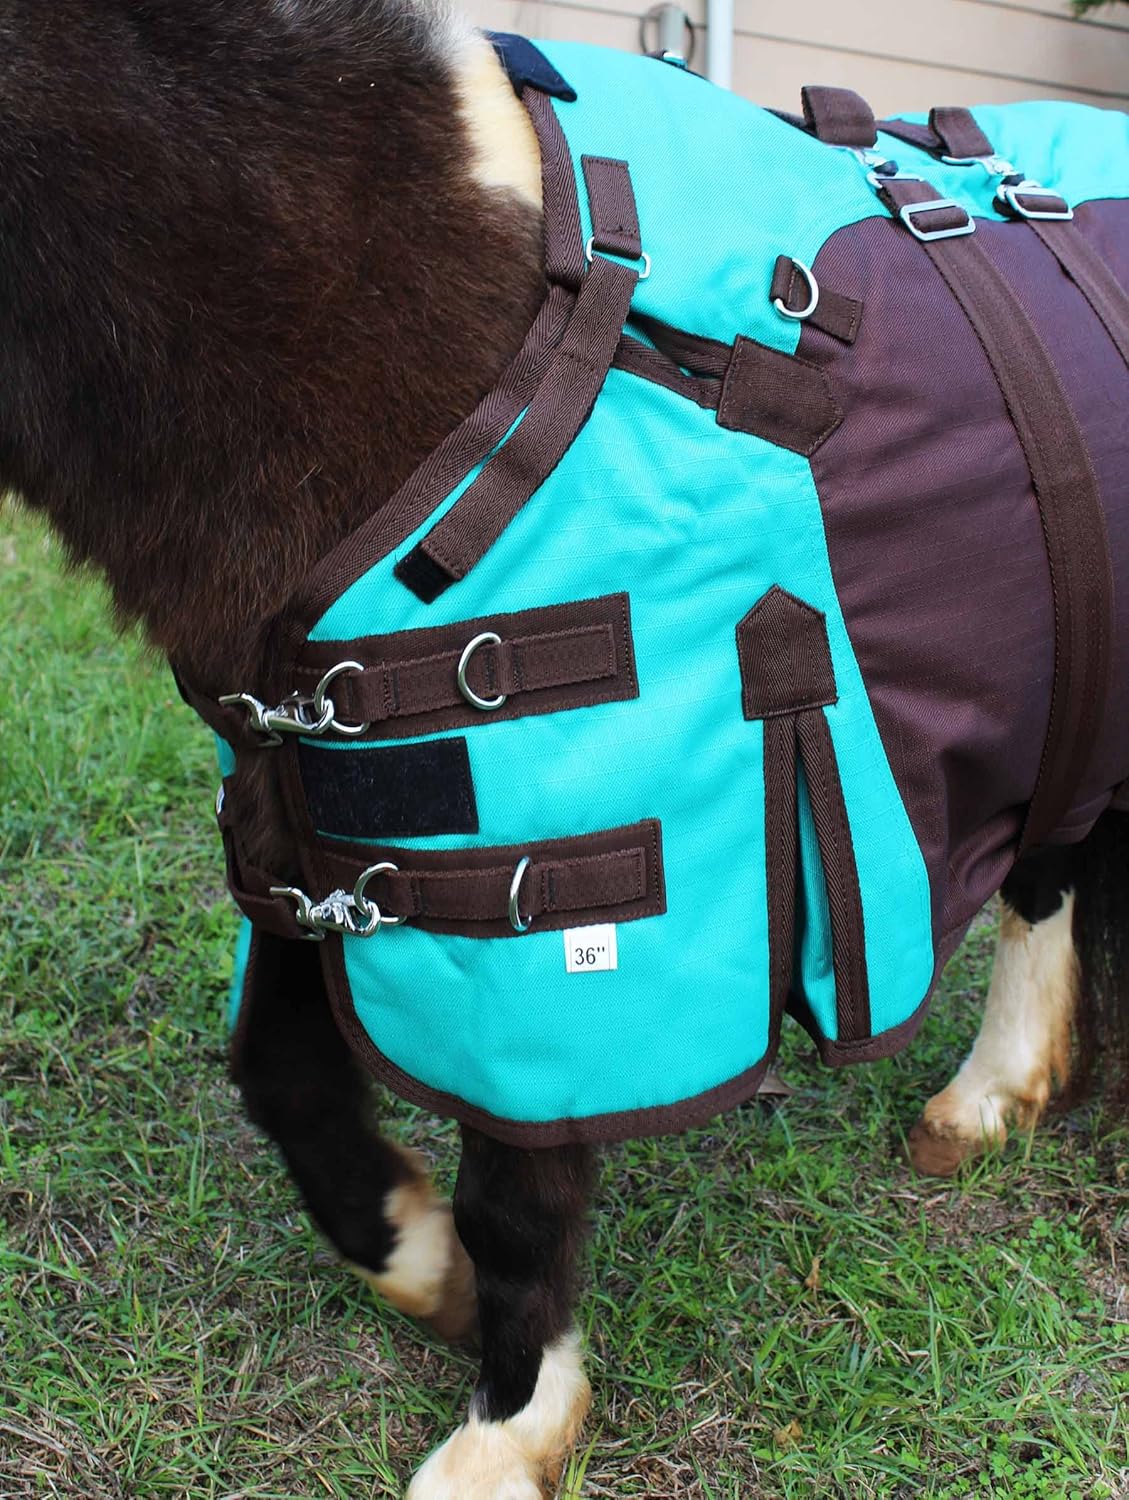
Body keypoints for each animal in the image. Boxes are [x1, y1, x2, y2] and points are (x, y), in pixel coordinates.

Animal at [2, 2, 1126, 1495]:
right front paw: (423, 1271)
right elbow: (285, 1078)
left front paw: (510, 1420)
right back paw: (992, 1097)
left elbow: (518, 1190)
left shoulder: (552, 911)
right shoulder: (317, 818)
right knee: (1051, 859)